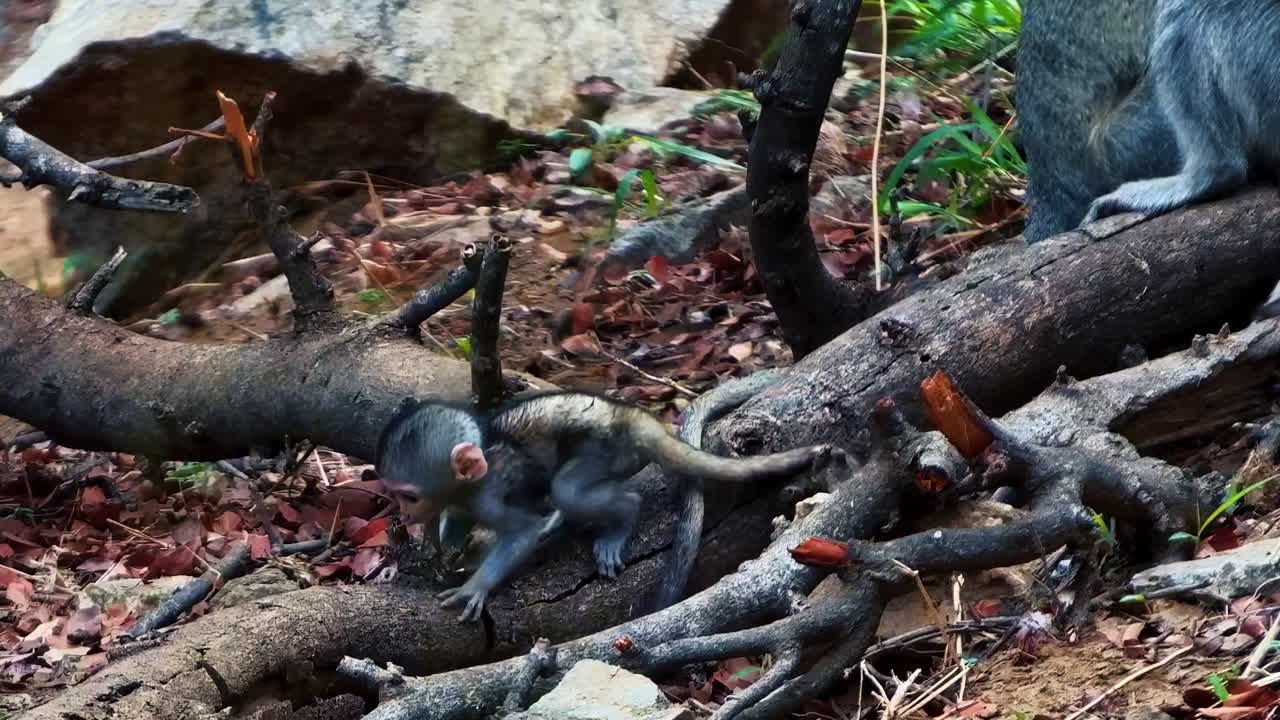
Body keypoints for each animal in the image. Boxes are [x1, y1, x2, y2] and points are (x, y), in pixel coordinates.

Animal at [376, 388, 834, 621]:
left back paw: (617, 520)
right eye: (395, 494)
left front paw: (476, 586)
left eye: (410, 495)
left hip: (608, 448)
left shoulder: (487, 494)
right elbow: (455, 517)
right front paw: (443, 548)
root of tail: (636, 417)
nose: (403, 514)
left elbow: (520, 530)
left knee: (571, 489)